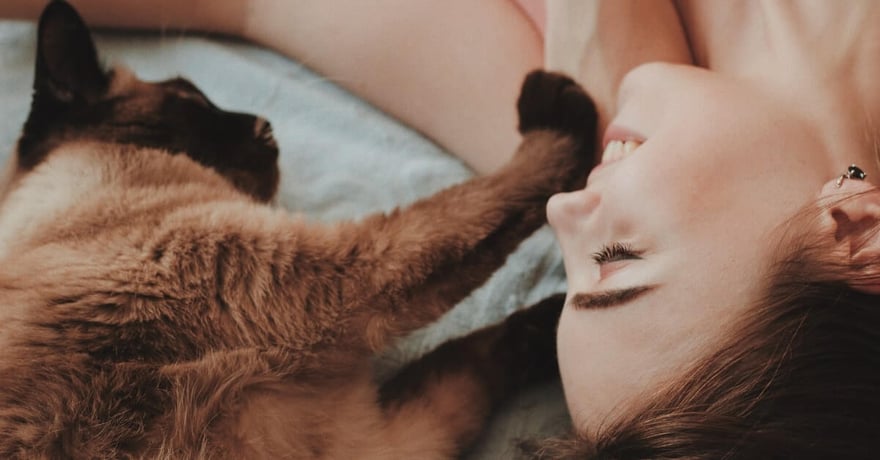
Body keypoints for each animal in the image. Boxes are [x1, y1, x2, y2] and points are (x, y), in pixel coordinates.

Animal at [0, 1, 600, 458]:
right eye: (193, 99)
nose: (266, 128)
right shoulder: (334, 272)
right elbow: (492, 200)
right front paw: (559, 109)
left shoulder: (377, 438)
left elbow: (472, 355)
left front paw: (561, 326)